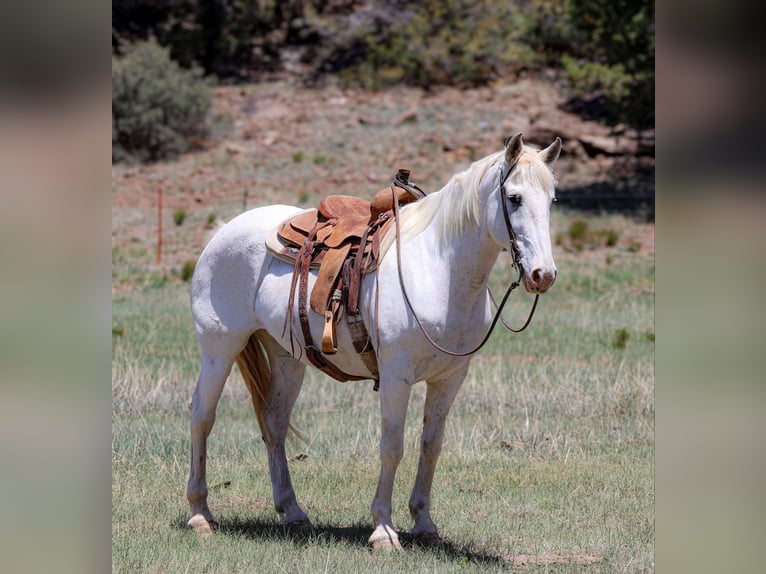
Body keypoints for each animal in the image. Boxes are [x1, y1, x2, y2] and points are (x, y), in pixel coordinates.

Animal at [186, 133, 562, 549]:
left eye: (552, 199)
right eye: (514, 198)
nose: (543, 274)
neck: (439, 270)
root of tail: (223, 230)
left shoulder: (450, 378)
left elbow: (431, 446)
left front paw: (424, 523)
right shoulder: (397, 376)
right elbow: (392, 447)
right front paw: (383, 529)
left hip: (286, 357)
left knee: (274, 424)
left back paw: (293, 512)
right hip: (219, 348)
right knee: (202, 416)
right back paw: (200, 514)